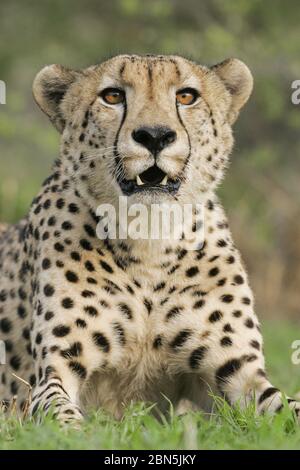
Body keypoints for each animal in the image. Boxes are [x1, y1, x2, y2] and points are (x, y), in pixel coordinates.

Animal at [0, 55, 300, 426]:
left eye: (186, 96)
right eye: (112, 96)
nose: (155, 136)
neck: (150, 242)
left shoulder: (238, 374)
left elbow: (288, 409)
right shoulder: (53, 372)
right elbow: (61, 416)